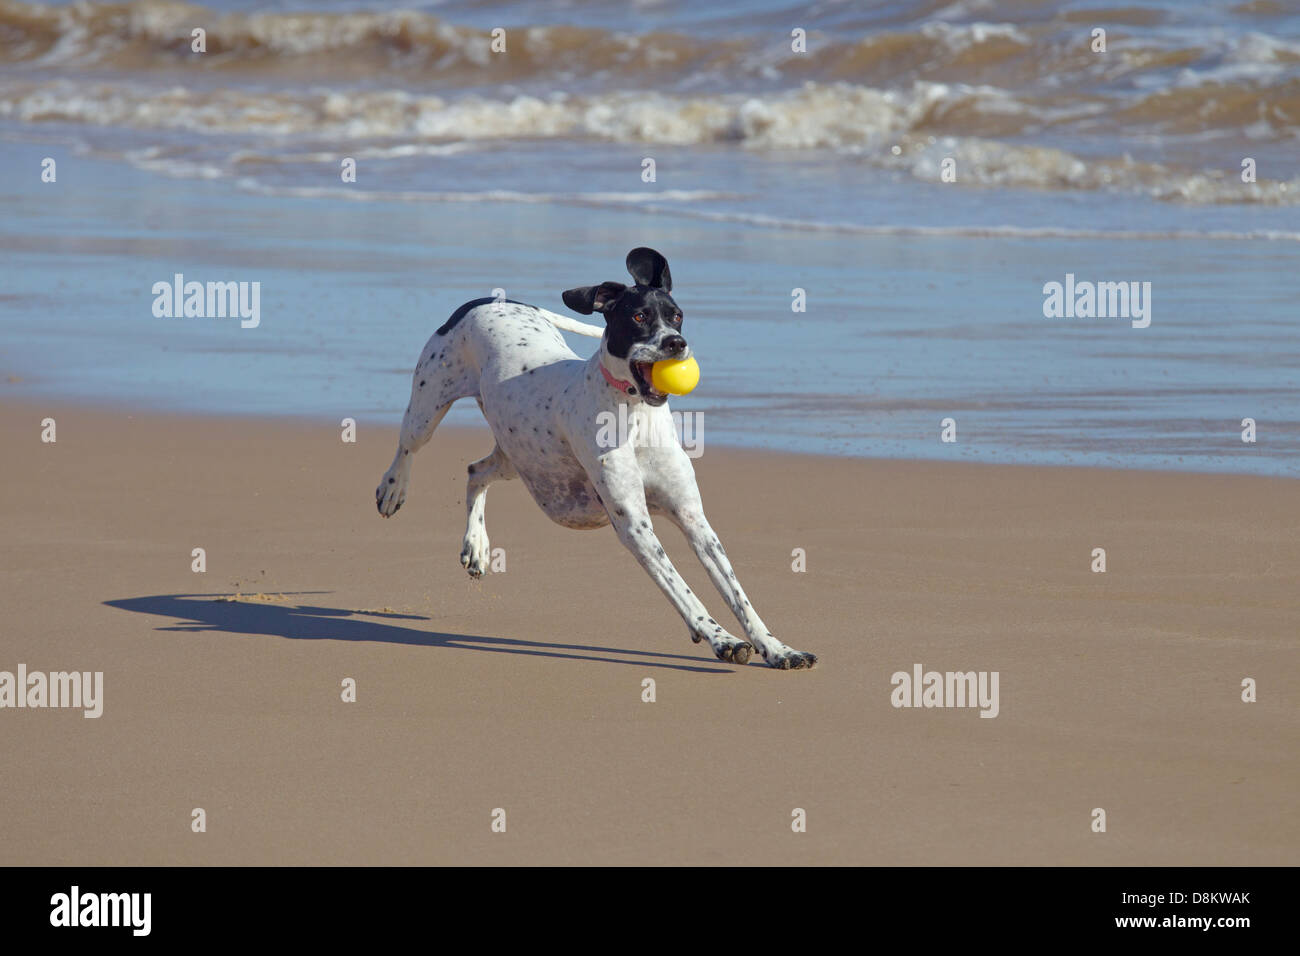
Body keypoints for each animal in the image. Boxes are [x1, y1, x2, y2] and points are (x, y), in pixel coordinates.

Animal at [374, 247, 811, 671]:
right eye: (638, 316)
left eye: (677, 316)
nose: (676, 343)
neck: (636, 415)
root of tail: (493, 301)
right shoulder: (635, 525)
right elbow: (684, 590)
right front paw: (721, 638)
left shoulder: (694, 519)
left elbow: (738, 595)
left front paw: (777, 648)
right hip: (430, 406)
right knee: (409, 445)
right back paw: (393, 489)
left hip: (522, 460)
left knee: (475, 470)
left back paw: (476, 545)